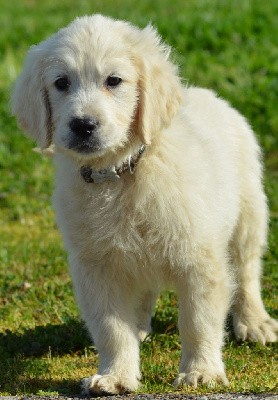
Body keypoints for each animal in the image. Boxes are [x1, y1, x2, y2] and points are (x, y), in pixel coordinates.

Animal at [10, 13, 276, 396]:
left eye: (114, 81)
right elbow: (111, 328)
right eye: (61, 83)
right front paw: (116, 375)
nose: (83, 125)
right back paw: (138, 323)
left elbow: (198, 320)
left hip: (248, 214)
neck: (121, 173)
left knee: (247, 270)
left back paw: (255, 322)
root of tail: (203, 93)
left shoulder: (199, 259)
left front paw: (201, 371)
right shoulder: (96, 265)